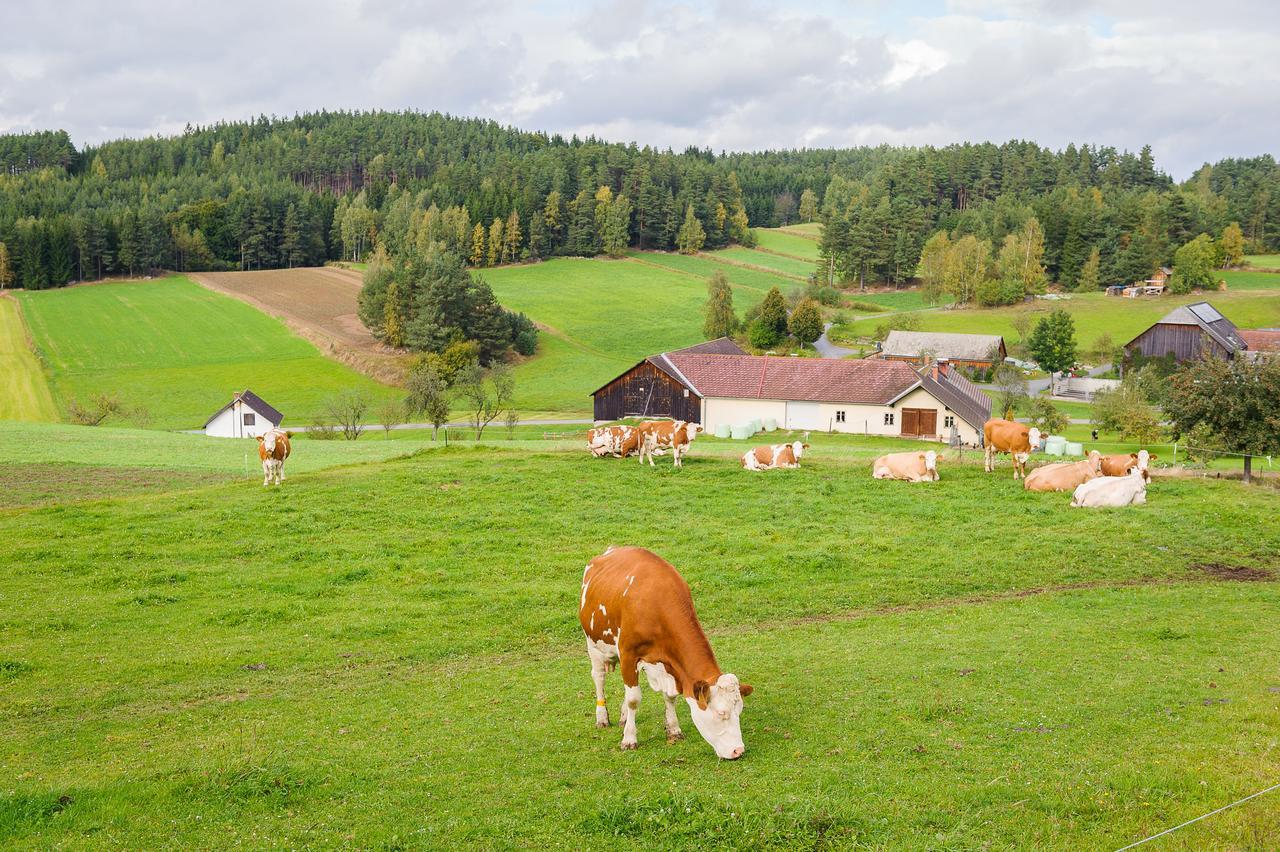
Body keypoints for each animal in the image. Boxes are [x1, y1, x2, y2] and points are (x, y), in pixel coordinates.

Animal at [581, 544, 747, 757]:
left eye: (739, 711)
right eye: (721, 713)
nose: (738, 750)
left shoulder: (670, 663)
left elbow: (669, 696)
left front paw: (674, 729)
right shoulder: (628, 654)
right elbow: (634, 699)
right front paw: (629, 739)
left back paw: (624, 716)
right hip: (593, 643)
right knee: (599, 677)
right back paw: (602, 717)